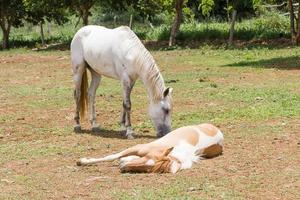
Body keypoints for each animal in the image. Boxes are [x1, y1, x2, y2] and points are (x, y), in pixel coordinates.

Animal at [77, 122, 223, 173]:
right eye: (147, 160)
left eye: (149, 169)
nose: (123, 168)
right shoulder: (136, 147)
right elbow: (111, 156)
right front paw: (82, 161)